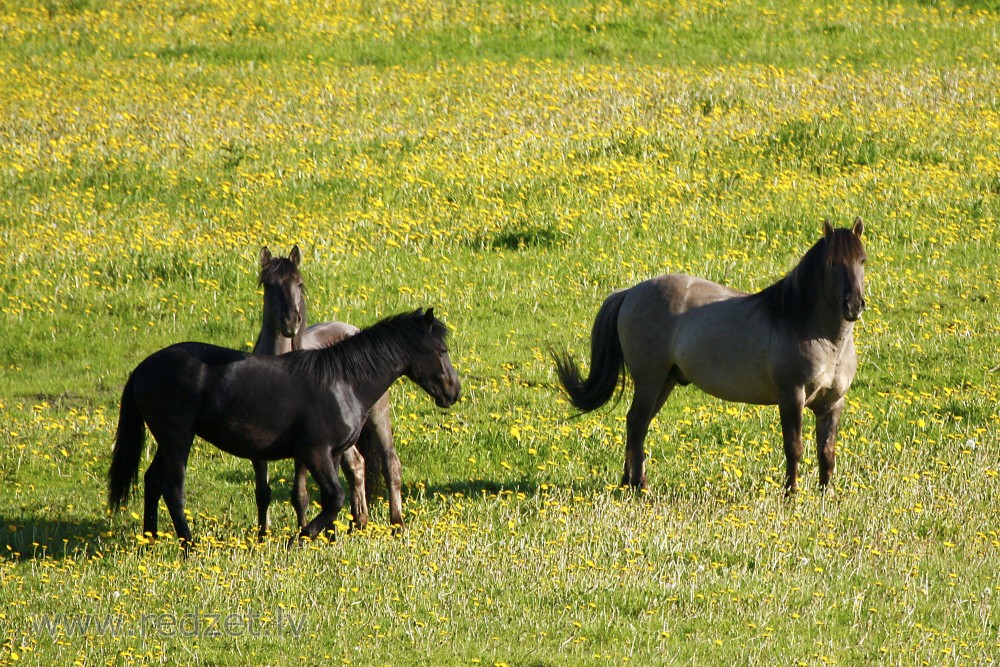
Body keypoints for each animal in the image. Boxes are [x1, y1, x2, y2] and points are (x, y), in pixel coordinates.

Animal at [106, 310, 460, 544]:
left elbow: (332, 498)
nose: (453, 392)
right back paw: (188, 545)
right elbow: (334, 497)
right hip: (177, 438)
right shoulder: (315, 452)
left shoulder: (331, 454)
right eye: (441, 350)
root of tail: (141, 368)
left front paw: (329, 539)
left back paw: (150, 539)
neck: (342, 380)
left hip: (168, 440)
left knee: (152, 480)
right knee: (172, 488)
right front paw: (301, 537)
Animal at [254, 245, 402, 536]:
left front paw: (304, 531)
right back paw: (358, 522)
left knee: (390, 463)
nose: (291, 322)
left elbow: (299, 494)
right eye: (268, 284)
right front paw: (262, 537)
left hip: (378, 416)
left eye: (299, 283)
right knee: (356, 465)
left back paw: (396, 523)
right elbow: (263, 492)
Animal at [556, 222, 868, 494]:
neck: (814, 331)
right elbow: (794, 448)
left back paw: (626, 483)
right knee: (637, 424)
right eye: (831, 264)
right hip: (649, 380)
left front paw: (826, 494)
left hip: (664, 382)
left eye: (862, 260)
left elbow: (826, 452)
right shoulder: (792, 397)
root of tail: (630, 292)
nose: (854, 305)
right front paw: (791, 494)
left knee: (636, 424)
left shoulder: (832, 403)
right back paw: (640, 485)